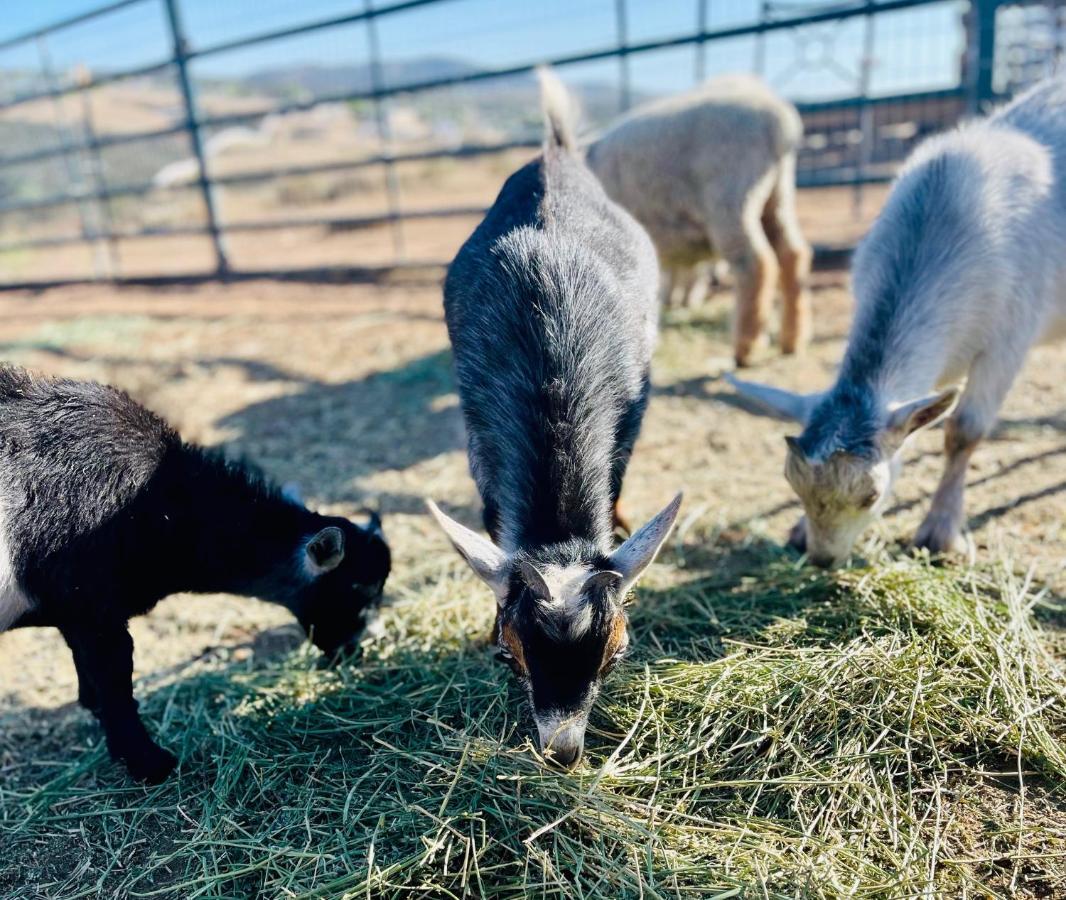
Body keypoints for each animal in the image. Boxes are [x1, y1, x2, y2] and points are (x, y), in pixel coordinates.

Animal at [2, 364, 390, 780]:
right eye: (357, 588)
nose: (360, 650)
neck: (164, 507)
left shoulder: (75, 616)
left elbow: (90, 682)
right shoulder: (93, 608)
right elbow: (115, 679)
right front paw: (150, 763)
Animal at [588, 71, 810, 364]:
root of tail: (780, 123)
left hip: (731, 196)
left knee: (756, 264)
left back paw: (745, 347)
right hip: (776, 196)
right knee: (792, 254)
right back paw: (791, 341)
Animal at [729, 78, 1066, 571]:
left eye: (870, 495)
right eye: (792, 483)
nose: (823, 559)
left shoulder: (1010, 336)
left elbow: (965, 430)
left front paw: (939, 532)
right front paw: (796, 529)